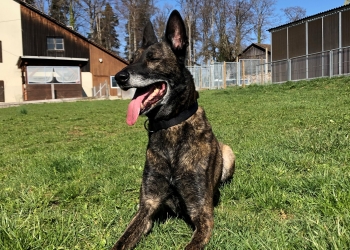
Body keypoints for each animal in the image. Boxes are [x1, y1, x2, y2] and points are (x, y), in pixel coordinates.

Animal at [113, 10, 235, 250]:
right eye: (132, 59)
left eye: (153, 58)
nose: (119, 77)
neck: (170, 125)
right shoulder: (147, 208)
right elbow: (121, 242)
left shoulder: (202, 214)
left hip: (229, 152)